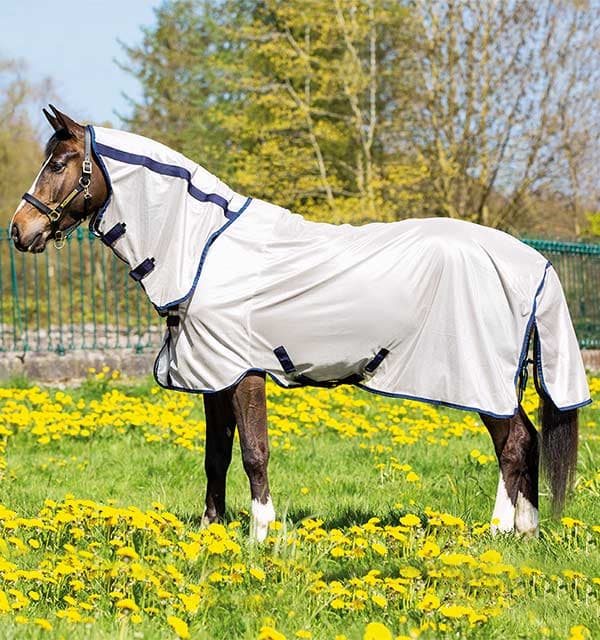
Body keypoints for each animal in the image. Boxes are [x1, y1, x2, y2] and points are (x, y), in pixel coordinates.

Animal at [10, 106, 590, 541]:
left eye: (60, 163)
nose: (20, 230)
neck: (204, 249)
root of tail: (530, 260)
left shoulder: (243, 372)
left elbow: (254, 453)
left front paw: (261, 535)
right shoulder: (213, 375)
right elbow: (216, 456)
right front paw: (213, 532)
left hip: (482, 378)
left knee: (512, 444)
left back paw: (498, 531)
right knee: (525, 441)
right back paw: (525, 531)